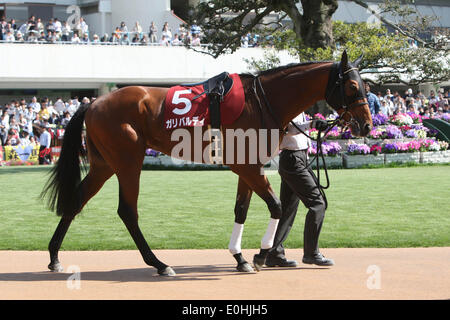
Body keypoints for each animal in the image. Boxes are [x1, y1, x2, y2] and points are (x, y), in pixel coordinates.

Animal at [42, 50, 372, 276]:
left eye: (366, 87)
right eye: (352, 87)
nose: (367, 126)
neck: (263, 100)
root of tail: (93, 103)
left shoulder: (247, 167)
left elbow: (241, 210)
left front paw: (240, 258)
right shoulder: (248, 167)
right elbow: (276, 206)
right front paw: (260, 255)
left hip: (104, 165)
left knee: (76, 202)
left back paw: (54, 257)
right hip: (127, 162)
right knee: (127, 211)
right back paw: (159, 264)